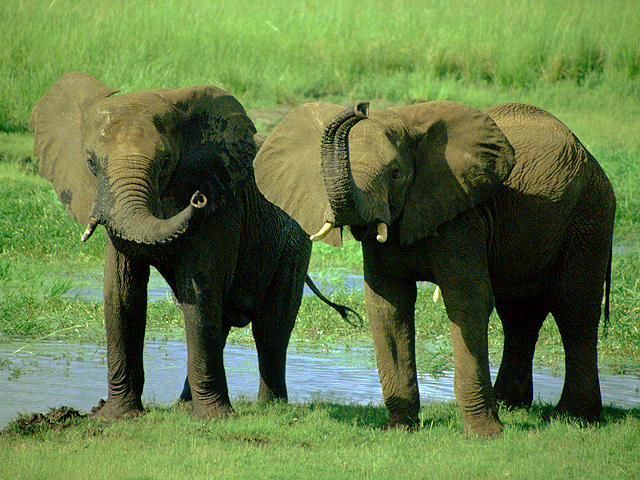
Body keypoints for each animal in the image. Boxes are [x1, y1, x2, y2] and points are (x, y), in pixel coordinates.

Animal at [31, 73, 356, 422]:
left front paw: (216, 419)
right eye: (91, 163)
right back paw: (184, 406)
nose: (197, 200)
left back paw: (271, 408)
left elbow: (198, 292)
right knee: (223, 321)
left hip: (293, 244)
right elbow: (122, 295)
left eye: (165, 163)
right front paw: (115, 417)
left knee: (271, 325)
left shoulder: (221, 204)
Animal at [254, 99, 616, 436]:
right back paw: (512, 405)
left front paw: (485, 435)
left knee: (574, 309)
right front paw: (400, 428)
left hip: (589, 218)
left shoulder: (463, 215)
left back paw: (574, 417)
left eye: (396, 173)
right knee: (520, 314)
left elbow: (466, 302)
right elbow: (388, 306)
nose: (360, 107)